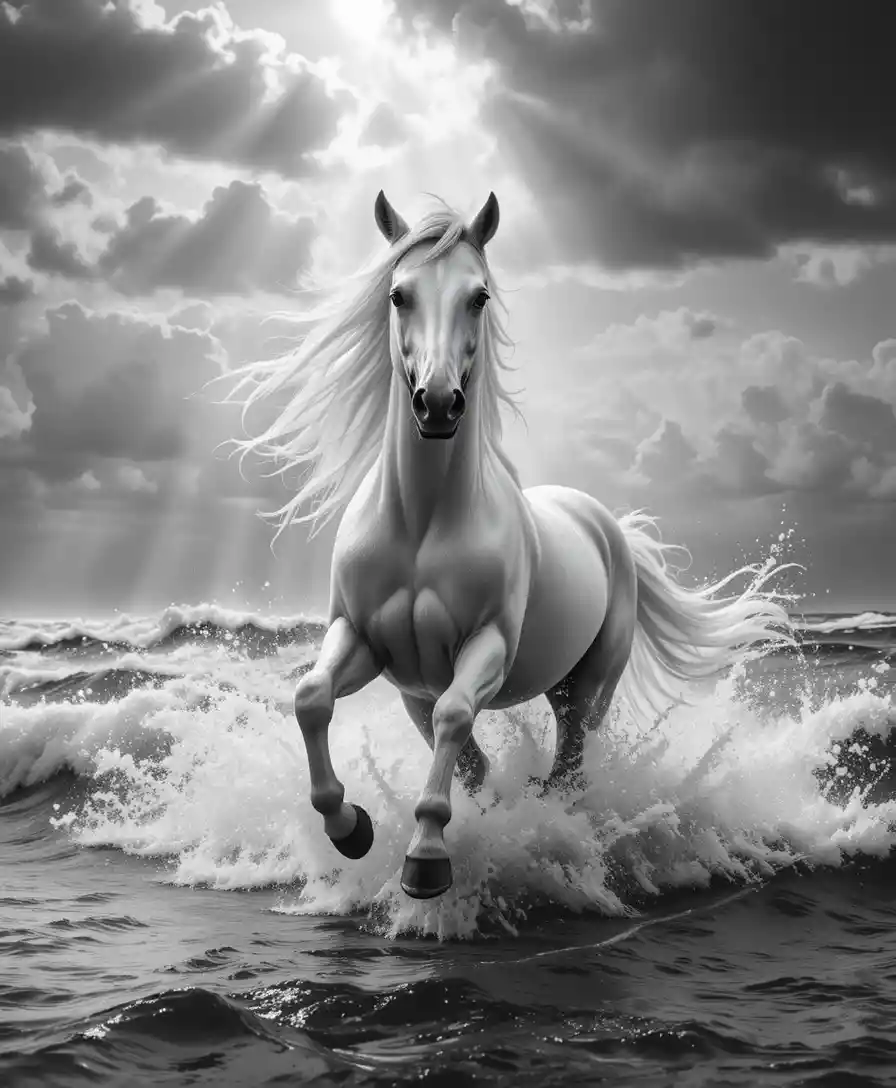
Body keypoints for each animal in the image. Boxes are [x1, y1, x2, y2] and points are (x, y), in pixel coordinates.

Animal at [228, 191, 793, 901]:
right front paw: (350, 827)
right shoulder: (363, 641)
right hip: (444, 690)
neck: (423, 524)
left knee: (568, 764)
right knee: (478, 761)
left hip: (591, 687)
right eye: (398, 294)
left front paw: (427, 860)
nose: (439, 404)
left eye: (479, 296)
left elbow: (455, 716)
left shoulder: (488, 646)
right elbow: (311, 698)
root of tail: (607, 527)